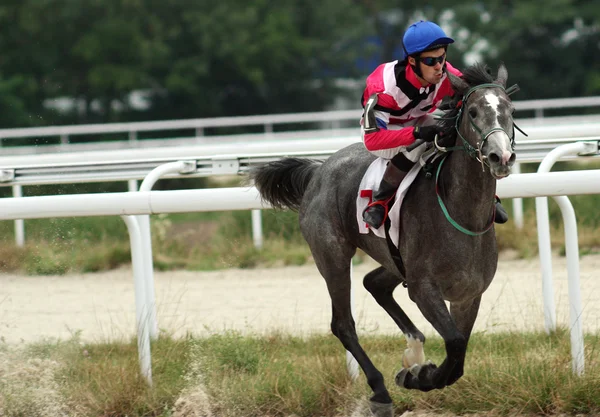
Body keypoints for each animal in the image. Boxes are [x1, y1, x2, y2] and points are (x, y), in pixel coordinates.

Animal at [251, 62, 516, 416]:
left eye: (509, 110)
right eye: (473, 111)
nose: (501, 157)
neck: (462, 214)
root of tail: (318, 171)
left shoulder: (468, 294)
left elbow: (458, 356)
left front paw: (419, 370)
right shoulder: (424, 289)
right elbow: (455, 344)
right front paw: (418, 376)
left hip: (393, 259)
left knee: (374, 284)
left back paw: (414, 347)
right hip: (332, 255)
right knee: (343, 324)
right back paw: (379, 390)